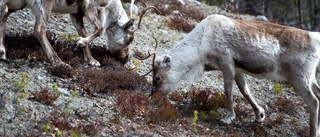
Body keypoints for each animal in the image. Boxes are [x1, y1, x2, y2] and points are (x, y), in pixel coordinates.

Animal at [151, 14, 320, 136]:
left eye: (157, 78)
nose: (153, 97)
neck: (202, 43)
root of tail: (315, 38)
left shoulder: (226, 64)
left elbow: (228, 90)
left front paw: (228, 117)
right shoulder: (238, 70)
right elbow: (244, 90)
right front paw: (259, 115)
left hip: (298, 76)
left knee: (313, 101)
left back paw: (313, 132)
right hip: (310, 77)